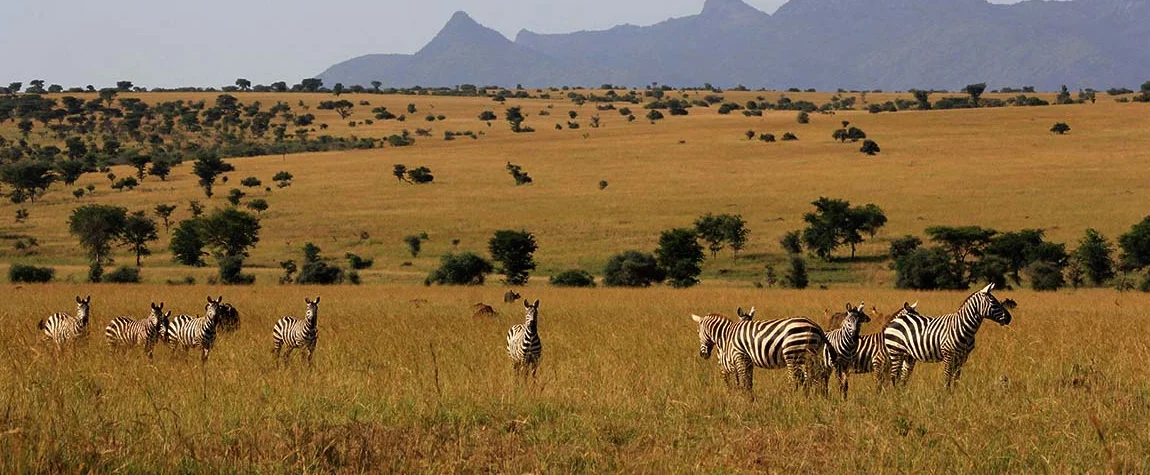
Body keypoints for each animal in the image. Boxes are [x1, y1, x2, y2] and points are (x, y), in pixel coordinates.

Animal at [690, 308, 837, 395]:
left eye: (697, 332)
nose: (703, 355)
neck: (726, 335)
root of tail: (817, 326)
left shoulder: (739, 357)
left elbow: (743, 380)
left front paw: (745, 399)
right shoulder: (747, 361)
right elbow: (748, 382)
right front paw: (749, 399)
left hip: (792, 354)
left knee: (796, 379)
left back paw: (792, 398)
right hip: (812, 356)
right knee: (816, 378)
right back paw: (814, 398)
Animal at [883, 281, 1012, 388]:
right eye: (993, 302)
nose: (1009, 318)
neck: (963, 327)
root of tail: (895, 320)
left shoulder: (962, 357)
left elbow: (956, 378)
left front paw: (954, 395)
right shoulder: (948, 356)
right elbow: (947, 377)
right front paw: (946, 395)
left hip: (908, 355)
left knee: (902, 377)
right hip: (895, 352)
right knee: (894, 376)